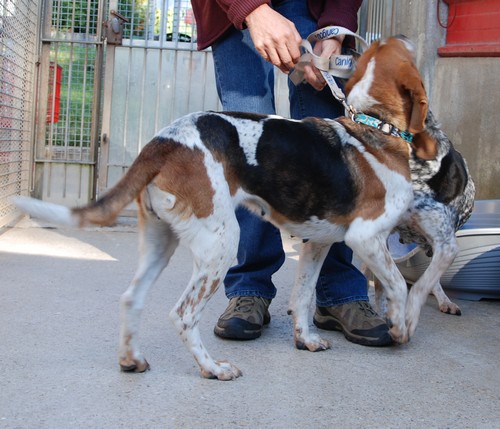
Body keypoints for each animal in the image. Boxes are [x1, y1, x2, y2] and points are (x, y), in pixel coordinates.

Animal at [10, 36, 464, 378]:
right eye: (401, 47)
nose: (395, 34)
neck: (374, 126)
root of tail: (162, 140)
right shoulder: (366, 237)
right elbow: (401, 285)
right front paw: (402, 326)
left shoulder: (317, 243)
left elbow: (303, 296)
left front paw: (305, 339)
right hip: (221, 244)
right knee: (182, 314)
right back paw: (213, 368)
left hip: (161, 240)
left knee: (130, 299)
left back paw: (131, 359)